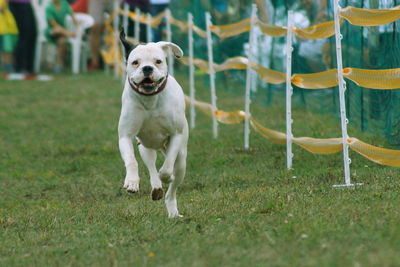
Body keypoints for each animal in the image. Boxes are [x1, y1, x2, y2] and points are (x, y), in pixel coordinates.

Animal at [118, 28, 188, 219]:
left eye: (158, 61)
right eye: (135, 62)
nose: (147, 68)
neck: (150, 99)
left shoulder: (176, 135)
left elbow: (168, 165)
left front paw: (166, 176)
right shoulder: (125, 135)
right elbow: (131, 160)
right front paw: (132, 182)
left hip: (182, 161)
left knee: (172, 189)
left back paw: (172, 210)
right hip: (145, 147)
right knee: (151, 166)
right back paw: (156, 188)